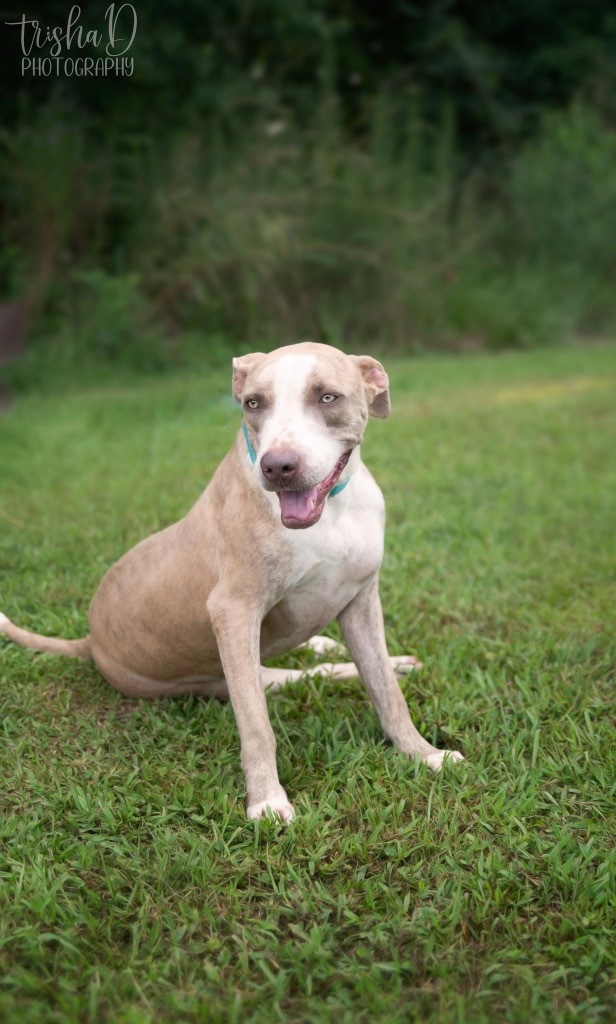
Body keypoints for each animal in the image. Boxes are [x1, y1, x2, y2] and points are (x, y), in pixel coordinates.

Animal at [1, 339, 460, 819]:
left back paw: (377, 657)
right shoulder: (234, 613)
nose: (278, 467)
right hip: (234, 675)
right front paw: (267, 801)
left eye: (327, 397)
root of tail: (89, 641)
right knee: (303, 677)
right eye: (253, 403)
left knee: (331, 665)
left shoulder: (361, 599)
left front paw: (423, 753)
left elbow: (388, 694)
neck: (332, 511)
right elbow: (257, 726)